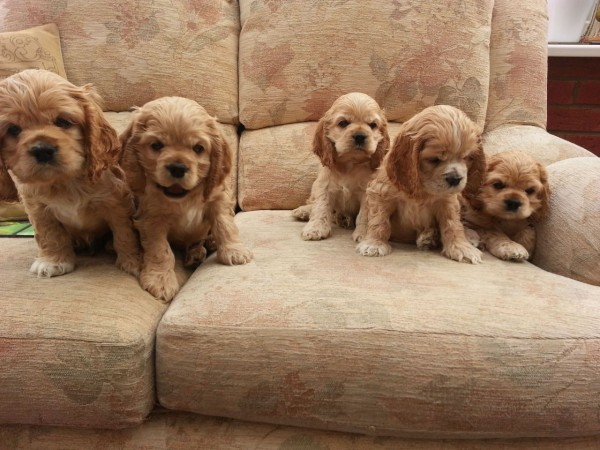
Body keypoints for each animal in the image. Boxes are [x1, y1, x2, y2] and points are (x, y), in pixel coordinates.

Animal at [0, 68, 140, 276]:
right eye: (13, 129)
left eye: (63, 121)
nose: (42, 149)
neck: (65, 181)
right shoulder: (39, 209)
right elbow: (49, 235)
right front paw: (53, 261)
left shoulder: (117, 202)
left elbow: (124, 232)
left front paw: (133, 261)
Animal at [120, 97, 252, 302]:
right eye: (156, 145)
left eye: (198, 148)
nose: (177, 167)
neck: (184, 198)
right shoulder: (151, 219)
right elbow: (160, 250)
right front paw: (160, 281)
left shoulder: (217, 200)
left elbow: (225, 225)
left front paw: (234, 251)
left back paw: (202, 249)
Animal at [292, 92, 392, 243]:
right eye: (343, 123)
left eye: (372, 125)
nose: (360, 136)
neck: (350, 163)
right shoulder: (324, 186)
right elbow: (320, 207)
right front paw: (315, 229)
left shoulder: (367, 192)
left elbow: (364, 215)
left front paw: (363, 234)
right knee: (313, 203)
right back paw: (303, 211)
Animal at [358, 103, 486, 262]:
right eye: (434, 159)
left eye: (467, 157)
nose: (455, 179)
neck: (422, 188)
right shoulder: (382, 193)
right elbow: (379, 220)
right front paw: (374, 244)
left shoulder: (447, 201)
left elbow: (453, 224)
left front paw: (461, 247)